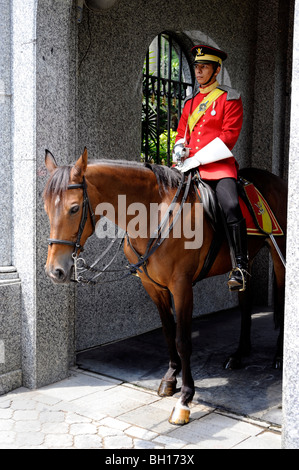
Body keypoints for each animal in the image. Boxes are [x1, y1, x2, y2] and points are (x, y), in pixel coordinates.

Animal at [43, 149, 288, 424]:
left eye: (74, 208)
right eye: (45, 207)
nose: (55, 271)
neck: (154, 215)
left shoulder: (181, 286)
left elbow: (183, 340)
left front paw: (185, 398)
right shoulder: (153, 287)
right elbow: (168, 331)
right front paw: (171, 378)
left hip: (279, 252)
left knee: (283, 297)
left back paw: (279, 356)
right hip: (247, 259)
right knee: (245, 298)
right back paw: (239, 353)